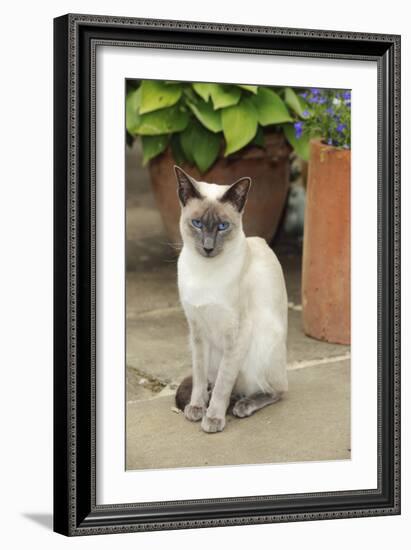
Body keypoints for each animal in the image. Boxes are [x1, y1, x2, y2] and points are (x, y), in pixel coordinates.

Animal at [175, 166, 288, 434]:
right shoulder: (197, 331)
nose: (207, 247)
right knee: (213, 381)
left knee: (276, 390)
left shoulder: (236, 332)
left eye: (223, 226)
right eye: (197, 223)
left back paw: (242, 405)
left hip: (261, 345)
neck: (204, 272)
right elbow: (199, 377)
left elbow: (224, 383)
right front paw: (197, 408)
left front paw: (213, 419)